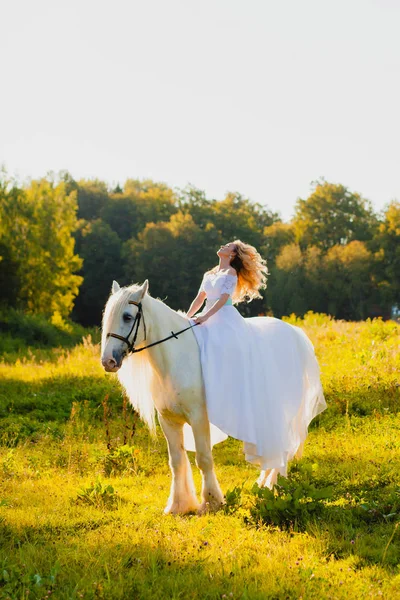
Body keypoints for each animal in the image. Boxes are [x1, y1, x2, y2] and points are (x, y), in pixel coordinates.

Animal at [101, 278, 320, 512]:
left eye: (127, 316)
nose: (108, 361)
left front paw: (211, 501)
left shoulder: (198, 418)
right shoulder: (168, 420)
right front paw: (178, 504)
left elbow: (203, 459)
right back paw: (264, 483)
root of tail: (294, 332)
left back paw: (274, 484)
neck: (177, 358)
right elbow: (176, 461)